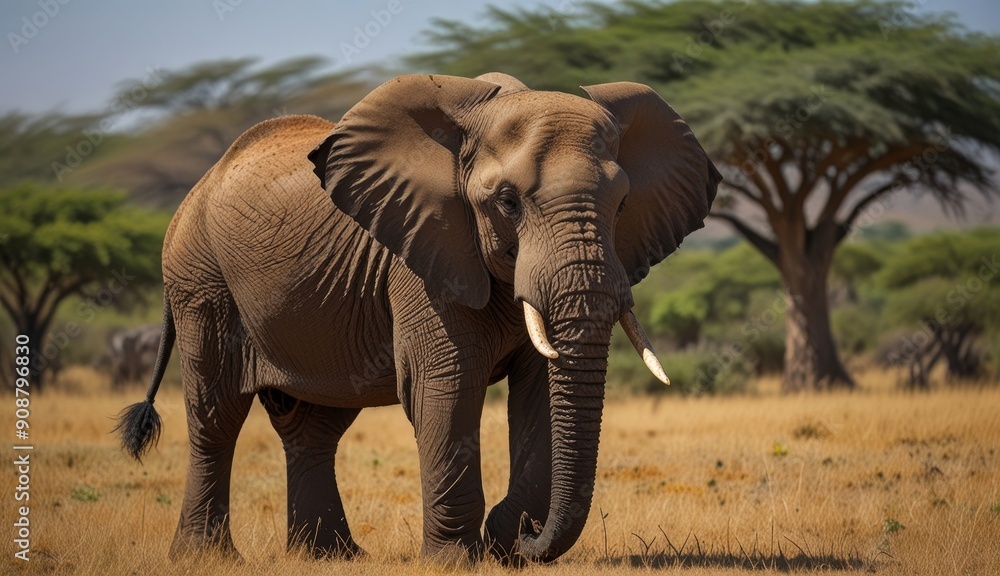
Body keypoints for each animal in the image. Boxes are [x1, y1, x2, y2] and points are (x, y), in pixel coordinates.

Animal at [115, 72, 720, 564]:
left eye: (622, 205)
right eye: (507, 202)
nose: (529, 537)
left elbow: (539, 393)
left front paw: (504, 541)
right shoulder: (420, 252)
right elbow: (445, 385)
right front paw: (460, 558)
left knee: (314, 424)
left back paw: (331, 557)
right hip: (200, 282)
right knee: (216, 414)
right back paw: (206, 558)